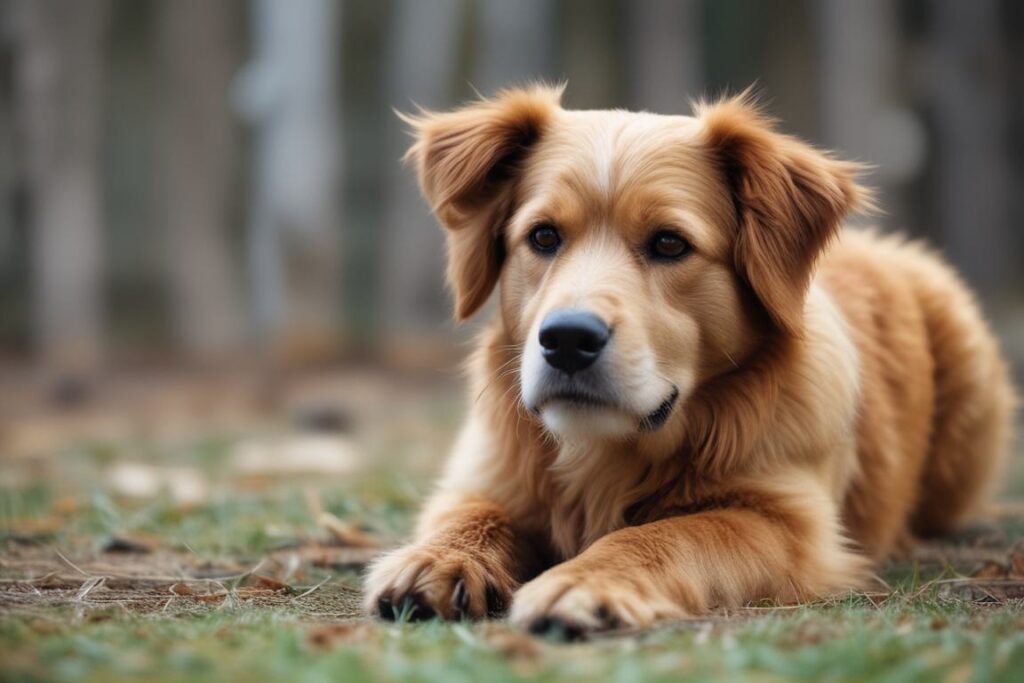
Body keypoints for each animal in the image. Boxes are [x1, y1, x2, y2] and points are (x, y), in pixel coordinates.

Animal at [364, 83, 1011, 634]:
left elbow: (667, 534)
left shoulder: (789, 523)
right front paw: (435, 559)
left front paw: (585, 582)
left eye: (670, 243)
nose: (567, 340)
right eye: (543, 236)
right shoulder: (487, 478)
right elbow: (470, 514)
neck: (610, 451)